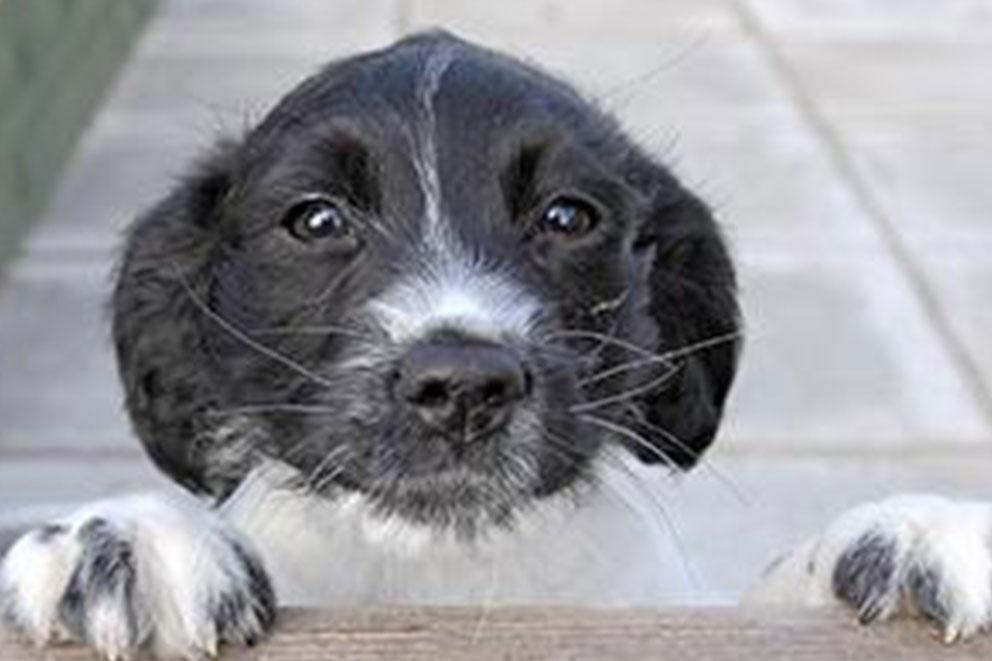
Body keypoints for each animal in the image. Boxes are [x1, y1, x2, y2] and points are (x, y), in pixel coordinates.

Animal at [1, 32, 992, 660]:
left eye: (567, 216)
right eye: (315, 220)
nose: (463, 384)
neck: (452, 571)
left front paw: (903, 531)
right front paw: (122, 538)